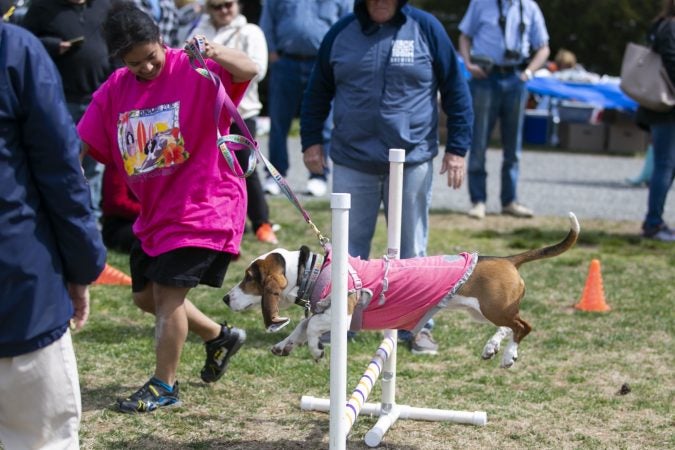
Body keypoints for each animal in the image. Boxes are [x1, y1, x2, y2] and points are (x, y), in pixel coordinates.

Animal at [223, 213, 580, 368]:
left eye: (248, 278)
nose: (225, 298)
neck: (312, 271)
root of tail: (507, 259)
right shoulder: (321, 313)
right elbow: (300, 326)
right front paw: (284, 345)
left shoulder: (342, 316)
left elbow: (309, 327)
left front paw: (315, 350)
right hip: (484, 311)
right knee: (509, 326)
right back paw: (492, 347)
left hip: (494, 308)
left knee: (524, 326)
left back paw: (508, 355)